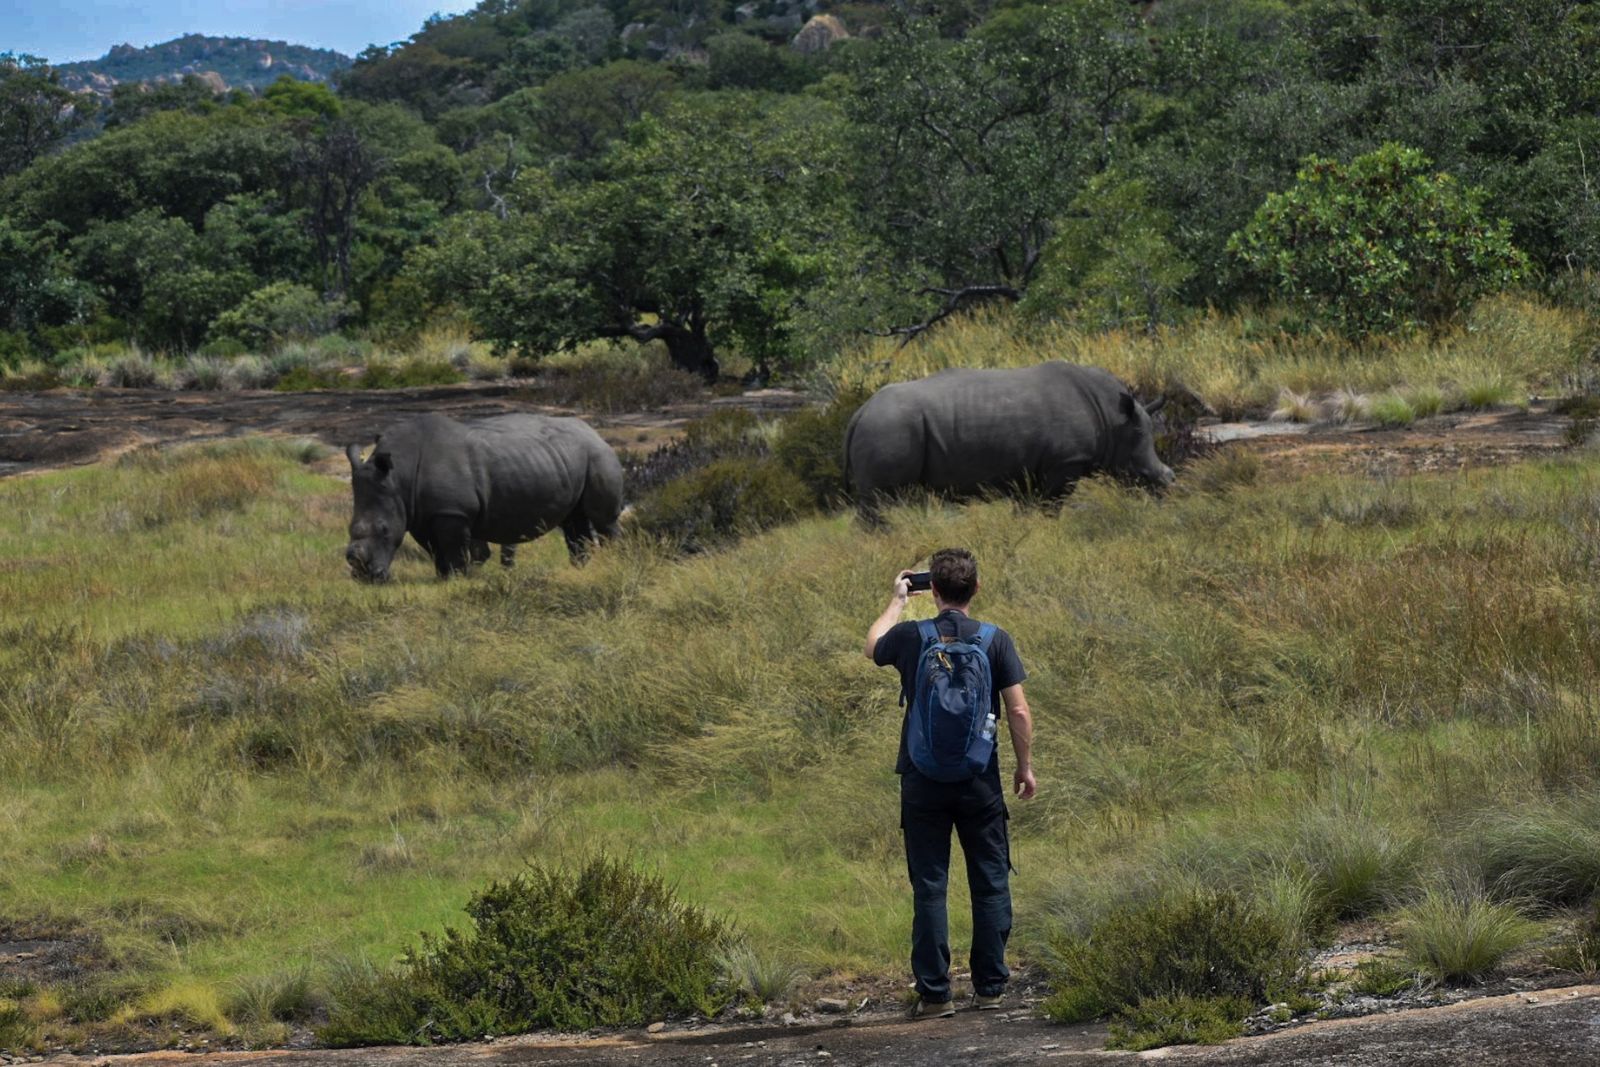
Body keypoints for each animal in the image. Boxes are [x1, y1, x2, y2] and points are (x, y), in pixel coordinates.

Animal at [344, 412, 624, 582]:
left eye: (384, 529)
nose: (365, 577)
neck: (399, 476)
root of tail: (596, 433)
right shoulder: (421, 513)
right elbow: (435, 549)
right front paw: (442, 578)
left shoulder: (452, 512)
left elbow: (454, 549)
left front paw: (456, 579)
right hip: (566, 459)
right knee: (574, 522)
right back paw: (582, 570)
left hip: (598, 455)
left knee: (604, 521)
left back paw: (615, 563)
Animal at [844, 362, 1174, 522]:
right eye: (1138, 444)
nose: (1169, 483)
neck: (1111, 416)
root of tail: (858, 413)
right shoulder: (1066, 462)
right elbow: (1052, 506)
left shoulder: (1029, 469)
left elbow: (1026, 509)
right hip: (888, 427)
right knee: (881, 500)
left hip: (885, 425)